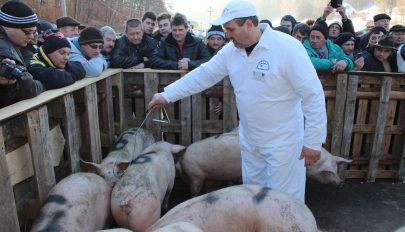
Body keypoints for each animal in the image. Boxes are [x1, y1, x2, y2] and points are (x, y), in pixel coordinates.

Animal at [177, 130, 350, 197]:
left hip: (208, 176)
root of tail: (183, 156)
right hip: (196, 175)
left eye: (336, 168)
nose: (342, 183)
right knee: (194, 190)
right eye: (328, 171)